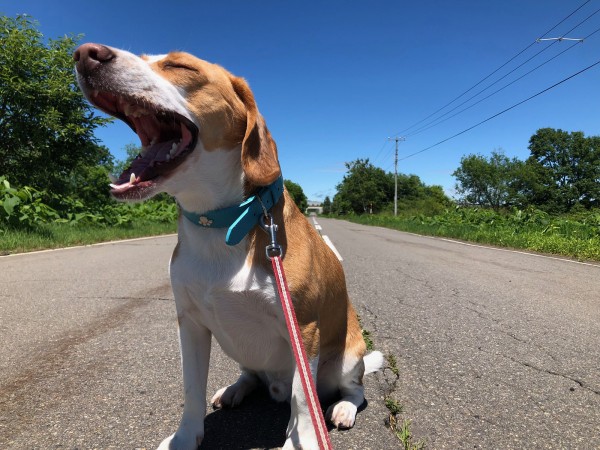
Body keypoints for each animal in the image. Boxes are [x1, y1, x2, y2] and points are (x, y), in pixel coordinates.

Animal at [74, 43, 384, 450]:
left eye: (180, 65)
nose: (85, 54)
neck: (219, 223)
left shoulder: (305, 327)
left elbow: (304, 402)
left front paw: (301, 441)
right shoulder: (189, 323)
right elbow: (191, 390)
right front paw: (184, 438)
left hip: (347, 358)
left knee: (349, 390)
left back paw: (342, 408)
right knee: (253, 375)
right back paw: (236, 389)